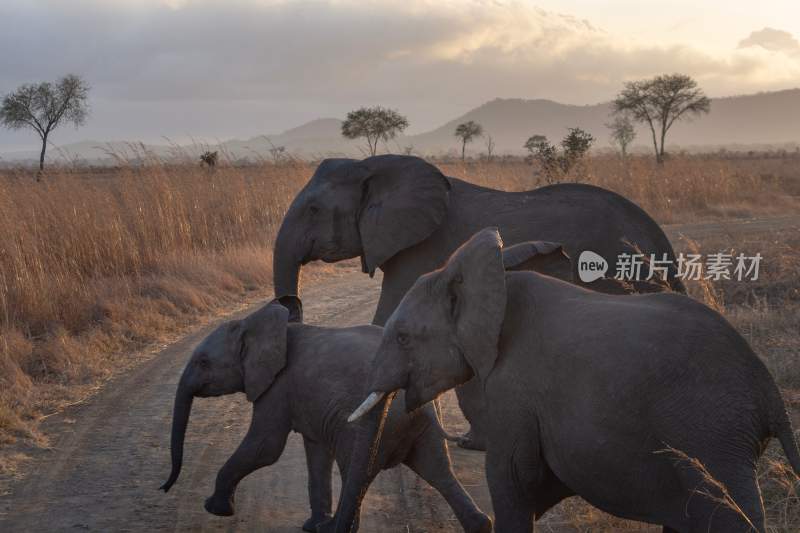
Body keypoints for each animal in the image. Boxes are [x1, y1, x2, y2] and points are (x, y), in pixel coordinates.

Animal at [159, 296, 490, 532]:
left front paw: (215, 508)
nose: (164, 487)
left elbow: (266, 447)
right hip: (421, 427)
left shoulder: (278, 386)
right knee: (438, 469)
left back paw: (336, 529)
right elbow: (315, 452)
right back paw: (480, 524)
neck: (257, 323)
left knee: (356, 469)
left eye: (203, 362)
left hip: (365, 427)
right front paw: (311, 526)